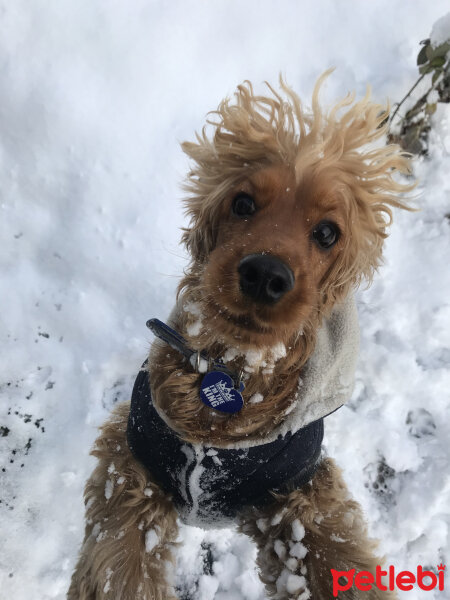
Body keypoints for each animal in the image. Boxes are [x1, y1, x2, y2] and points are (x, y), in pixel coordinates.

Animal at [67, 72, 414, 596]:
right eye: (243, 204)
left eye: (327, 233)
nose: (265, 274)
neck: (230, 376)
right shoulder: (132, 459)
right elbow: (121, 562)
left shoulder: (299, 489)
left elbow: (336, 553)